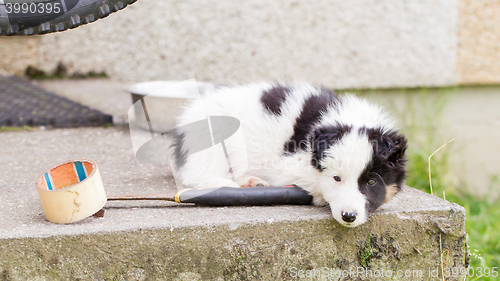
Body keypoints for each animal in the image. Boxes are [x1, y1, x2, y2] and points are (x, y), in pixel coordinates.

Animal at [172, 82, 406, 226]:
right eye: (336, 178)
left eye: (372, 182)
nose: (349, 216)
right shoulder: (288, 165)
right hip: (212, 134)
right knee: (197, 171)